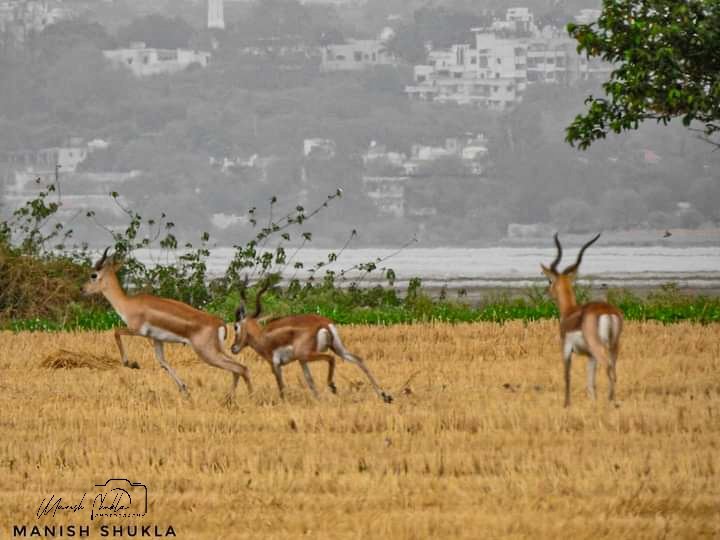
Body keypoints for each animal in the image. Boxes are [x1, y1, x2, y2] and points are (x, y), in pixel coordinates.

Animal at [82, 249, 253, 400]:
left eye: (94, 275)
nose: (82, 289)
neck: (128, 304)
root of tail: (219, 323)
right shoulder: (157, 339)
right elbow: (163, 362)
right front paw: (184, 389)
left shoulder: (137, 330)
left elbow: (116, 331)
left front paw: (131, 363)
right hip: (217, 351)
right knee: (239, 368)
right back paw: (230, 398)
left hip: (207, 353)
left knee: (240, 368)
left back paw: (248, 398)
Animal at [231, 280, 394, 402]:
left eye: (235, 326)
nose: (233, 348)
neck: (262, 336)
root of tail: (323, 323)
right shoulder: (301, 362)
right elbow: (310, 381)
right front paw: (318, 400)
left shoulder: (276, 364)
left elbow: (282, 387)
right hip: (337, 349)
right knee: (358, 359)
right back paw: (384, 396)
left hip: (308, 354)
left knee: (331, 358)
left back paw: (333, 386)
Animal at [544, 234, 620, 408]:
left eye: (550, 281)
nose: (546, 292)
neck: (569, 312)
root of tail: (607, 311)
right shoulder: (590, 356)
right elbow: (590, 383)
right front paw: (593, 403)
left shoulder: (566, 349)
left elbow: (567, 376)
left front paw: (566, 404)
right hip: (614, 345)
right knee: (614, 370)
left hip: (598, 346)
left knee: (608, 367)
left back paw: (609, 402)